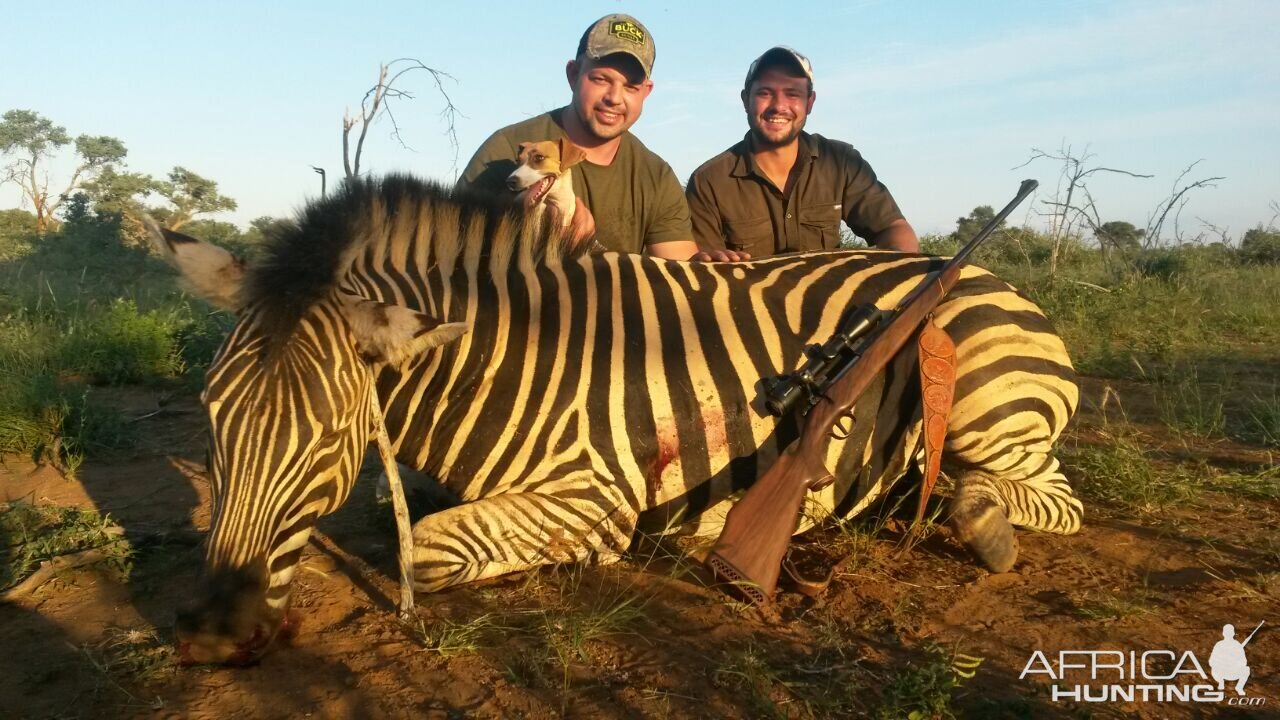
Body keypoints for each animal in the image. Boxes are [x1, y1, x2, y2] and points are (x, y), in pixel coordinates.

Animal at [152, 175, 1090, 661]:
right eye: (211, 414)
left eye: (332, 436)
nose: (213, 633)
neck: (509, 359)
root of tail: (994, 279)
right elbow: (407, 520)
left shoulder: (594, 498)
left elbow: (433, 545)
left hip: (988, 411)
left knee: (1037, 497)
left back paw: (979, 520)